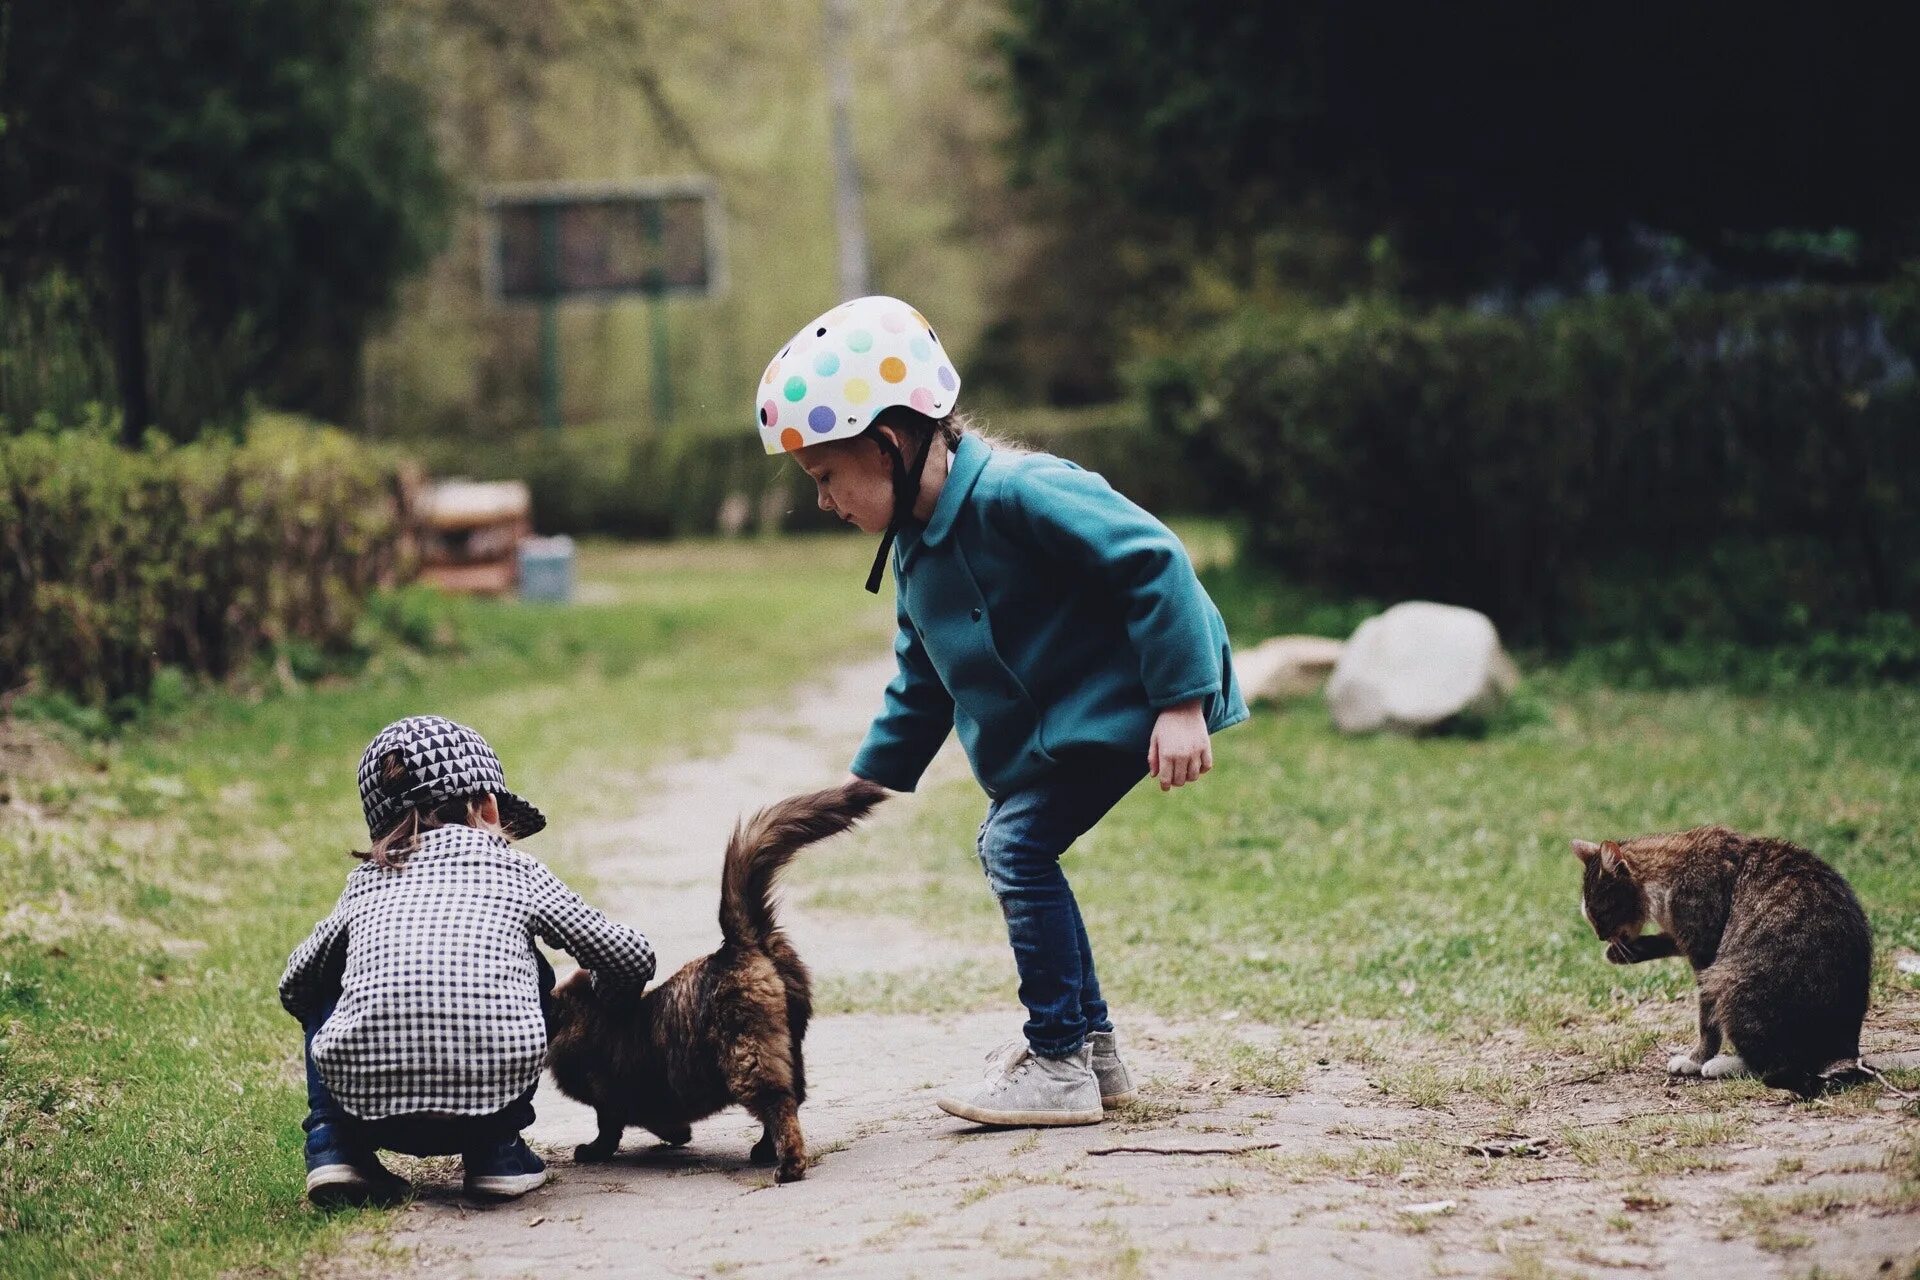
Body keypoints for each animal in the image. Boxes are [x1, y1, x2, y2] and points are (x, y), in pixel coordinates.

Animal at [1574, 832, 1873, 1105]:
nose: (1601, 936)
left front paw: (1696, 1059)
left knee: (1776, 1063)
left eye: (1599, 913)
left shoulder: (1705, 954)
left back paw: (1721, 1065)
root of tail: (1845, 1048)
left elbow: (1707, 1024)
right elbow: (1667, 940)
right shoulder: (1685, 937)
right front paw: (1620, 953)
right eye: (1590, 917)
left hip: (1728, 982)